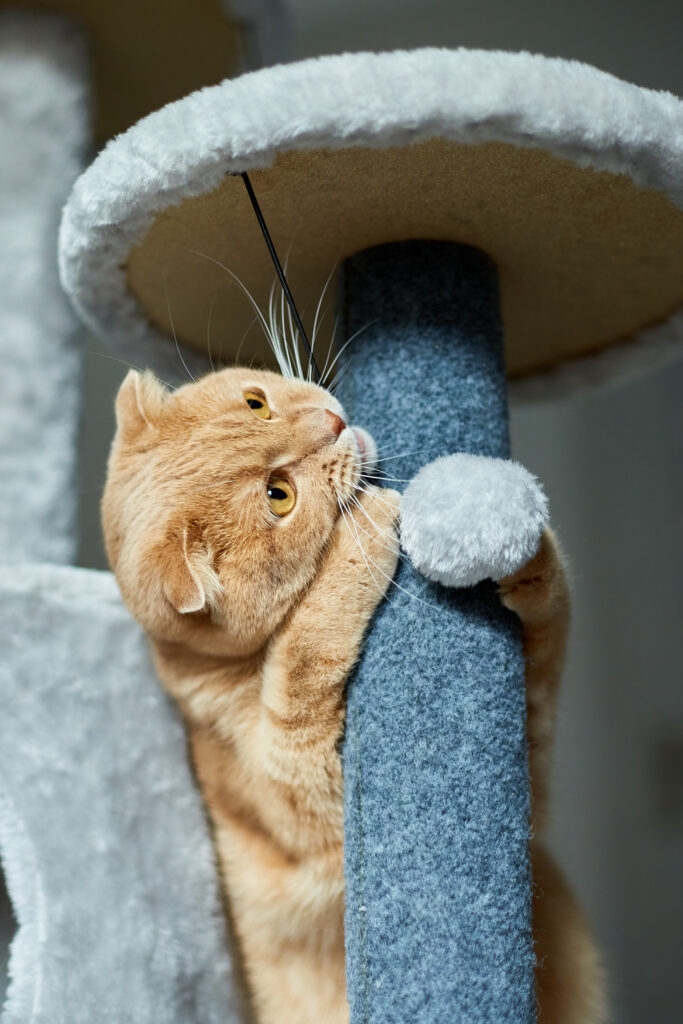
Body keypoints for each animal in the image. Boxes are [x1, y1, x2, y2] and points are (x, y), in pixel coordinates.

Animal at [100, 364, 602, 1019]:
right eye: (278, 495)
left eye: (257, 403)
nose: (333, 422)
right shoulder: (312, 807)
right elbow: (303, 656)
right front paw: (361, 535)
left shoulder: (533, 733)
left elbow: (550, 618)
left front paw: (515, 538)